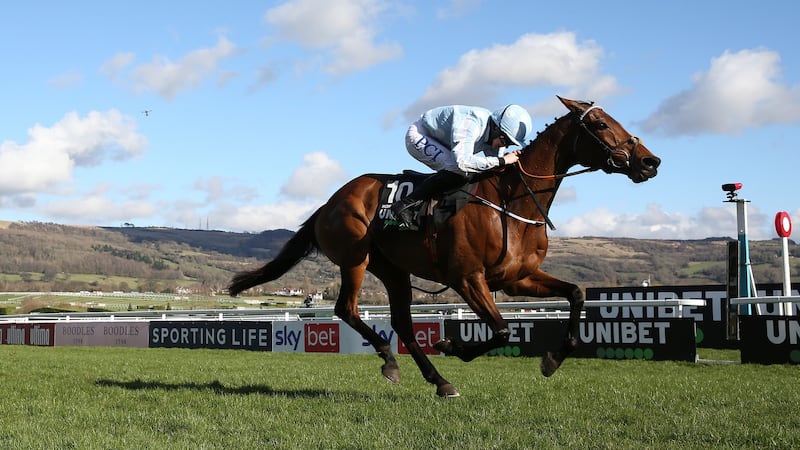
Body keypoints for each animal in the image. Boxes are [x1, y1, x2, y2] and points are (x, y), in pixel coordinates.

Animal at [230, 97, 664, 398]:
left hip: (393, 269)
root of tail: (330, 201)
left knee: (402, 322)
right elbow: (502, 330)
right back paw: (392, 361)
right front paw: (452, 344)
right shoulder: (468, 277)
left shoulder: (517, 278)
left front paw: (553, 358)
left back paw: (437, 380)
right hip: (355, 258)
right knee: (347, 310)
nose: (650, 161)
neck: (512, 200)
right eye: (600, 123)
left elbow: (574, 293)